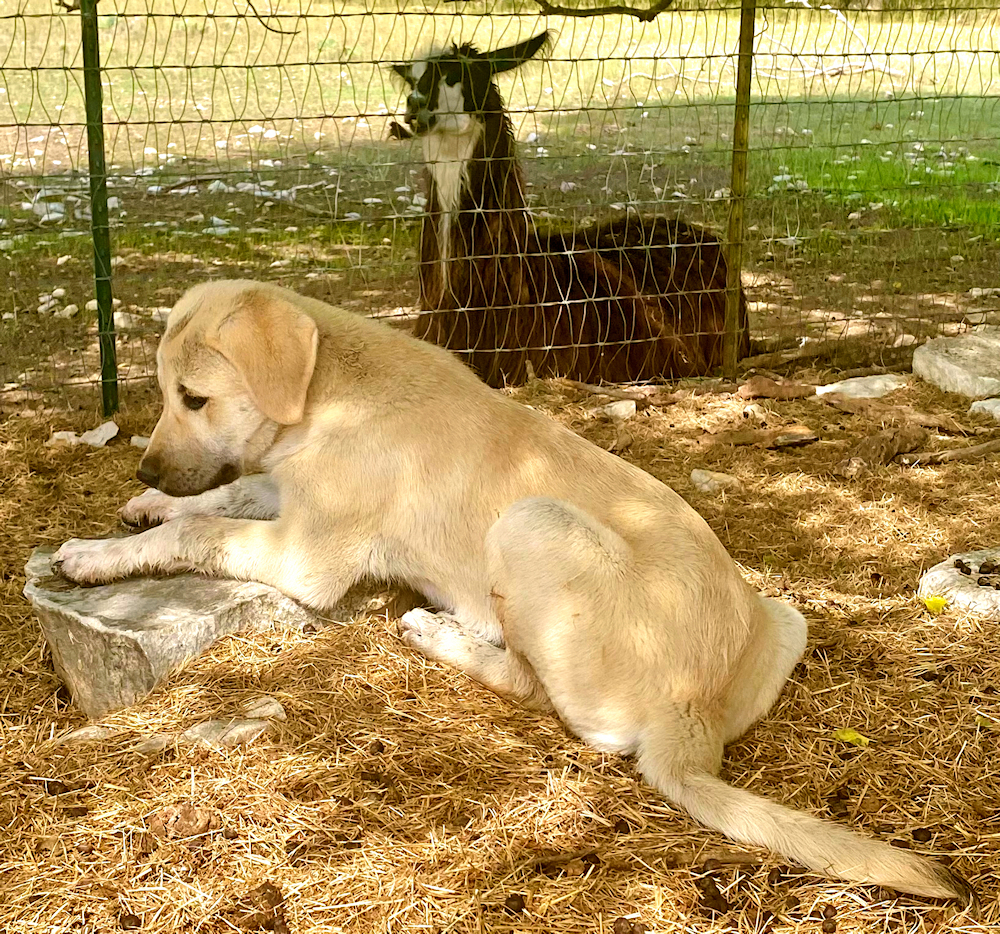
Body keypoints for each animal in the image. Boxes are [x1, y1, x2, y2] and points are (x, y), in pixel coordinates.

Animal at [52, 280, 968, 908]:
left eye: (194, 398)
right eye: (166, 394)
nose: (143, 464)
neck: (328, 397)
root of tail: (693, 716)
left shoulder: (306, 555)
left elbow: (199, 531)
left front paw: (101, 553)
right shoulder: (281, 496)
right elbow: (220, 498)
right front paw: (147, 504)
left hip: (531, 523)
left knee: (544, 695)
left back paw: (441, 634)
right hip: (785, 615)